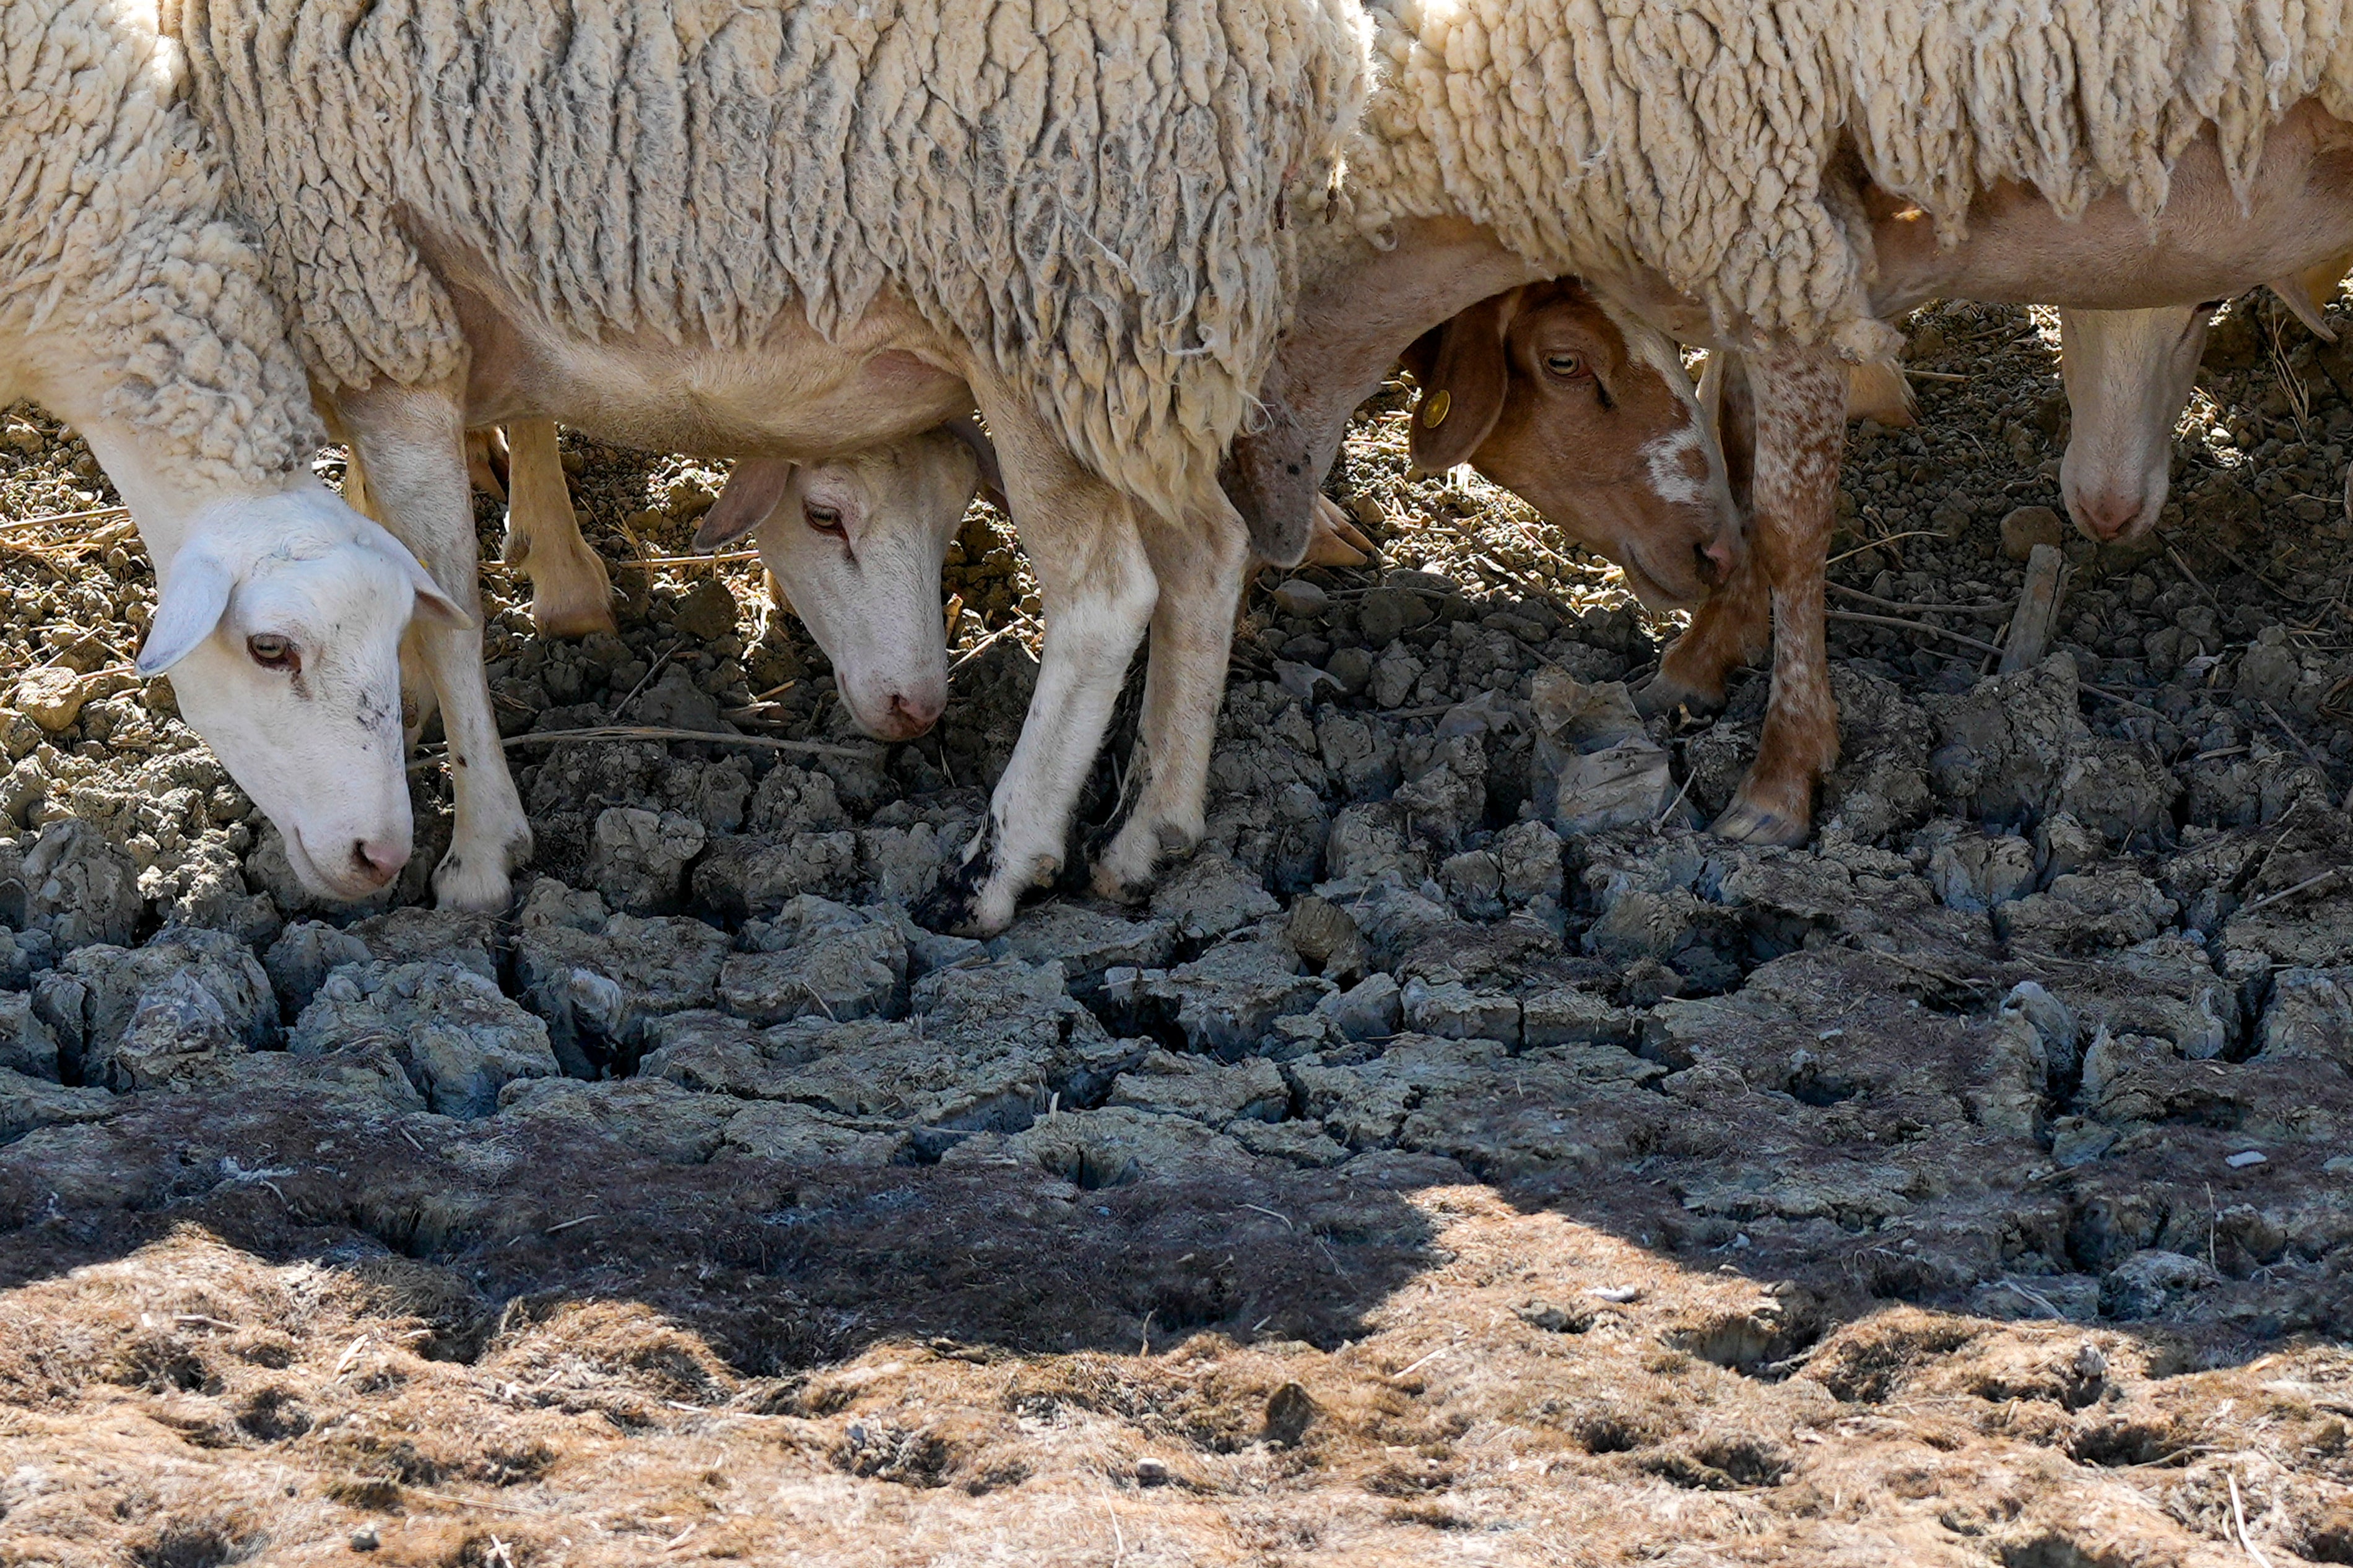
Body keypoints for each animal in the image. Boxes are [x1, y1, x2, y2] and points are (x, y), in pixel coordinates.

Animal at [170, 0, 1365, 930]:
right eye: (826, 517)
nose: (914, 712)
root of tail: (1316, 51)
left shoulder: (378, 313)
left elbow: (444, 599)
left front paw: (475, 856)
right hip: (1155, 348)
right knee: (1208, 555)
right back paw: (1152, 830)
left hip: (1055, 309)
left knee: (1110, 596)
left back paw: (998, 865)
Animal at [1224, 0, 2353, 851]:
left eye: (1561, 360)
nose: (1272, 516)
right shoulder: (1762, 265)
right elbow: (1734, 447)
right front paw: (1700, 658)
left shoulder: (1782, 246)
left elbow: (1792, 522)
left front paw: (1780, 780)